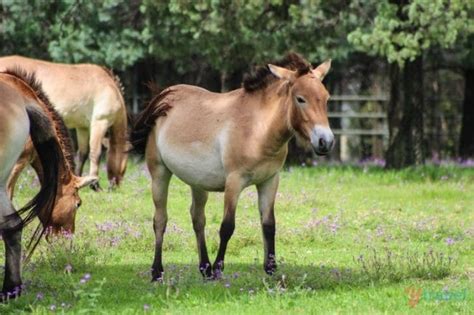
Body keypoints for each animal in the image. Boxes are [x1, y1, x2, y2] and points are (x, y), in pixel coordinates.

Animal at [0, 55, 129, 191]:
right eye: (125, 169)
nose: (116, 186)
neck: (112, 88)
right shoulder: (99, 123)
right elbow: (95, 153)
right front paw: (95, 185)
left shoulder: (82, 128)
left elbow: (82, 154)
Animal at [131, 54, 336, 282]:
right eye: (300, 99)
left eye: (326, 98)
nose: (325, 142)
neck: (257, 128)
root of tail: (164, 97)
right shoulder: (234, 182)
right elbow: (227, 226)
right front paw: (219, 269)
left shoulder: (270, 181)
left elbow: (269, 224)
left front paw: (270, 268)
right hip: (159, 174)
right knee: (160, 220)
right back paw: (157, 271)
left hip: (197, 183)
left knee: (197, 218)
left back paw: (204, 268)